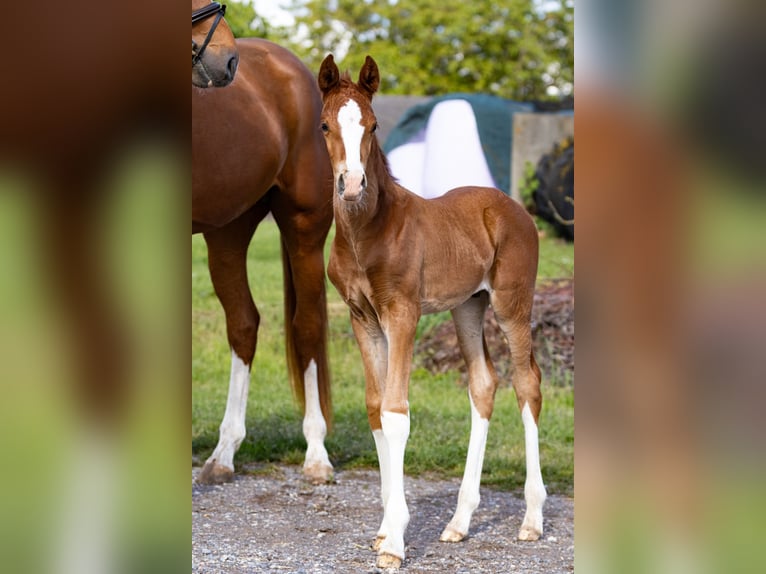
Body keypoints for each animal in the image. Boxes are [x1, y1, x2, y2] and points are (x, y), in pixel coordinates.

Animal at [193, 39, 335, 485]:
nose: (224, 63)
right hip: (227, 233)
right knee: (243, 324)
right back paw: (223, 453)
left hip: (305, 230)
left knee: (307, 328)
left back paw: (316, 454)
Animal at [317, 54, 546, 569]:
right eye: (324, 125)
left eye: (373, 125)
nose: (352, 184)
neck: (367, 233)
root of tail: (512, 206)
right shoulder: (362, 318)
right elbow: (375, 407)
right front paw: (385, 529)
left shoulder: (402, 313)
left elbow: (397, 411)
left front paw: (396, 543)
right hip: (467, 307)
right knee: (484, 384)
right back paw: (459, 522)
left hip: (512, 303)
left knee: (527, 384)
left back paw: (532, 519)